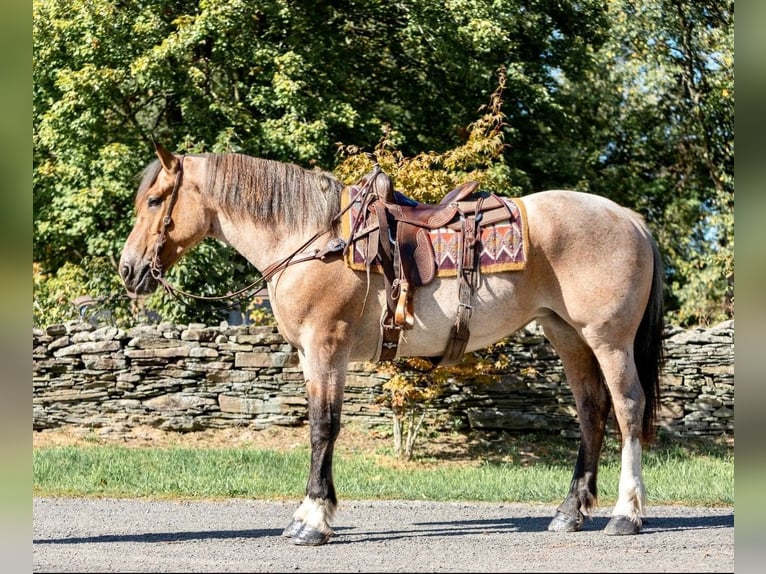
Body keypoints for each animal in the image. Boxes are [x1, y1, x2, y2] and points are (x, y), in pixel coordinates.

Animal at [120, 142, 664, 548]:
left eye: (155, 202)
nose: (128, 269)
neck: (310, 239)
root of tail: (629, 217)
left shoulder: (327, 346)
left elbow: (323, 428)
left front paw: (313, 521)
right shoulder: (310, 355)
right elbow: (320, 428)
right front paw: (310, 513)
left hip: (609, 340)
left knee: (627, 409)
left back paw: (626, 514)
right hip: (567, 335)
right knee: (592, 411)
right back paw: (570, 512)